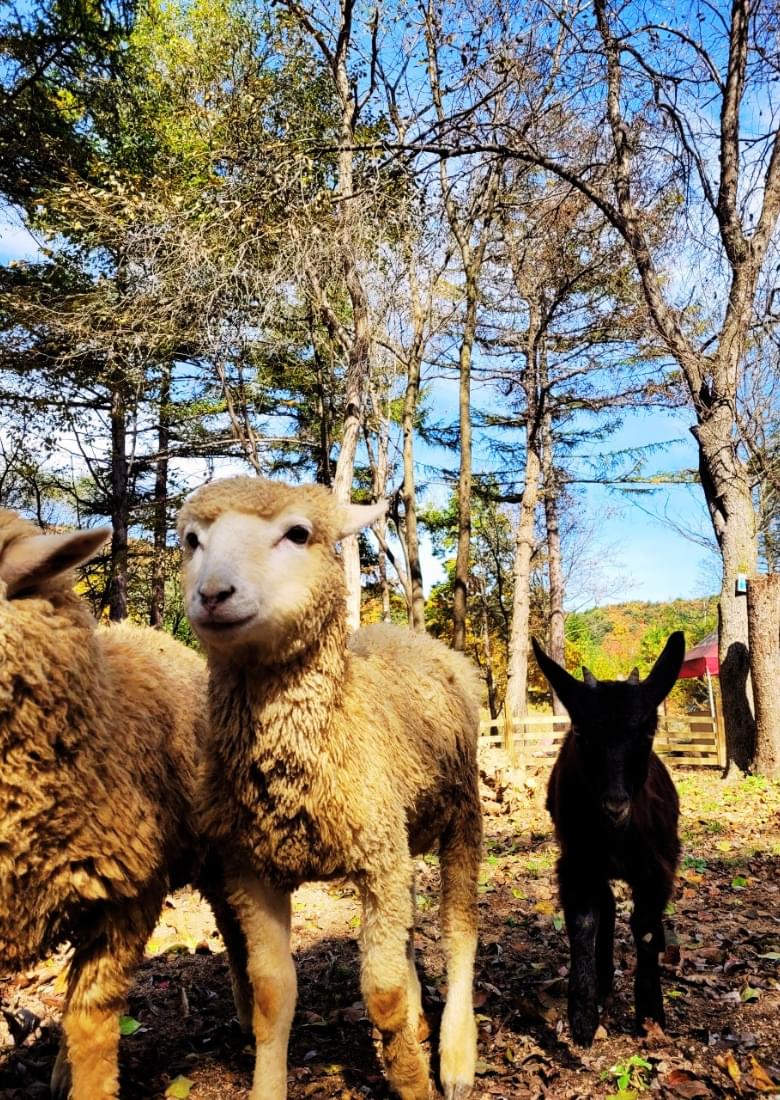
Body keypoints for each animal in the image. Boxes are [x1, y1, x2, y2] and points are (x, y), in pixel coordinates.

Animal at [179, 477, 484, 1100]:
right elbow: (273, 997)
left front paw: (412, 1081)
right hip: (396, 832)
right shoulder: (252, 870)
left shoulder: (376, 857)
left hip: (463, 809)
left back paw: (456, 1053)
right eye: (192, 540)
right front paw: (267, 1088)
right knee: (406, 917)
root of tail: (407, 633)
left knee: (459, 926)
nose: (213, 593)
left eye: (298, 533)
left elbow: (381, 995)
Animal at [532, 633, 686, 1042]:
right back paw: (602, 978)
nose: (615, 806)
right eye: (580, 731)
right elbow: (584, 922)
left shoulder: (658, 867)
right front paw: (583, 1016)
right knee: (608, 906)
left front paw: (650, 1013)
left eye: (648, 730)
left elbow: (645, 928)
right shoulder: (576, 864)